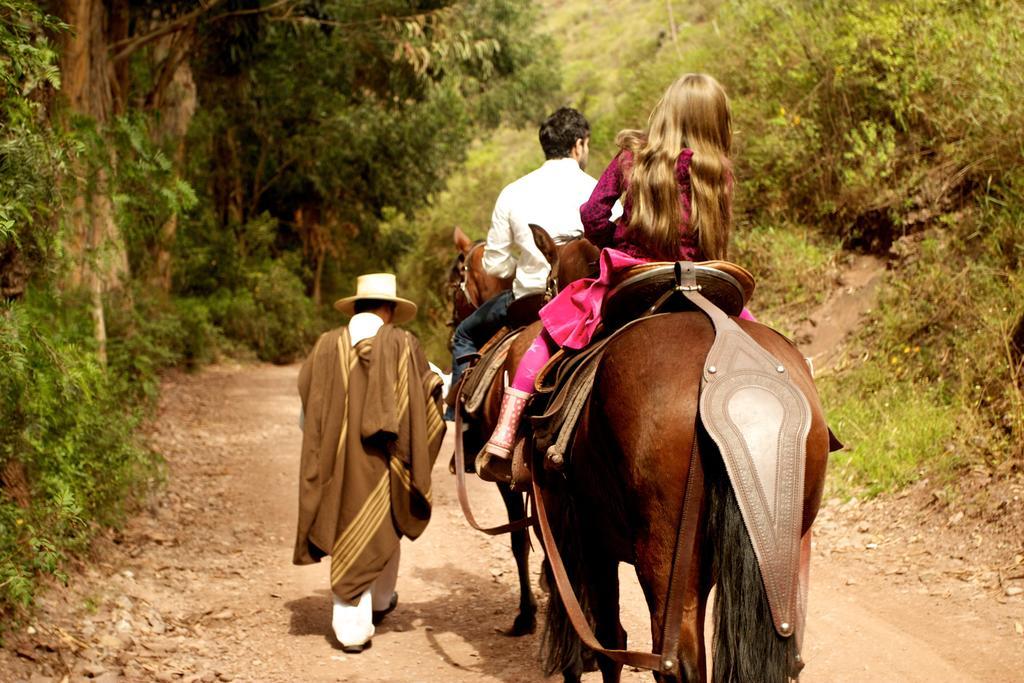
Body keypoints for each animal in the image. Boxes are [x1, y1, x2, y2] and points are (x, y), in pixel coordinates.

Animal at [446, 227, 598, 638]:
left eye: (453, 284)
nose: (452, 321)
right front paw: (546, 581)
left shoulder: (508, 480)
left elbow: (518, 538)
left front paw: (526, 612)